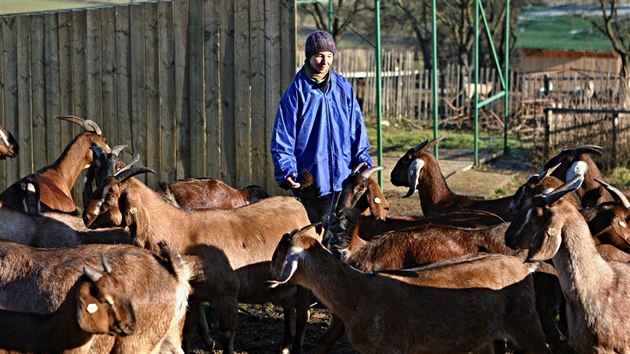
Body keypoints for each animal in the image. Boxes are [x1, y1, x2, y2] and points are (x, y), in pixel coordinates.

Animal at [83, 163, 318, 354]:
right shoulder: (195, 296)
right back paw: (285, 346)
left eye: (110, 195)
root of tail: (297, 205)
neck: (185, 231)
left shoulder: (226, 295)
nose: (86, 217)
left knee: (302, 316)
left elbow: (226, 336)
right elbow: (186, 333)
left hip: (304, 286)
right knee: (289, 308)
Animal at [270, 225, 552, 354]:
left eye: (282, 250)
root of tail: (524, 267)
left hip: (526, 322)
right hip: (485, 337)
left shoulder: (389, 349)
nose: (270, 270)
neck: (356, 294)